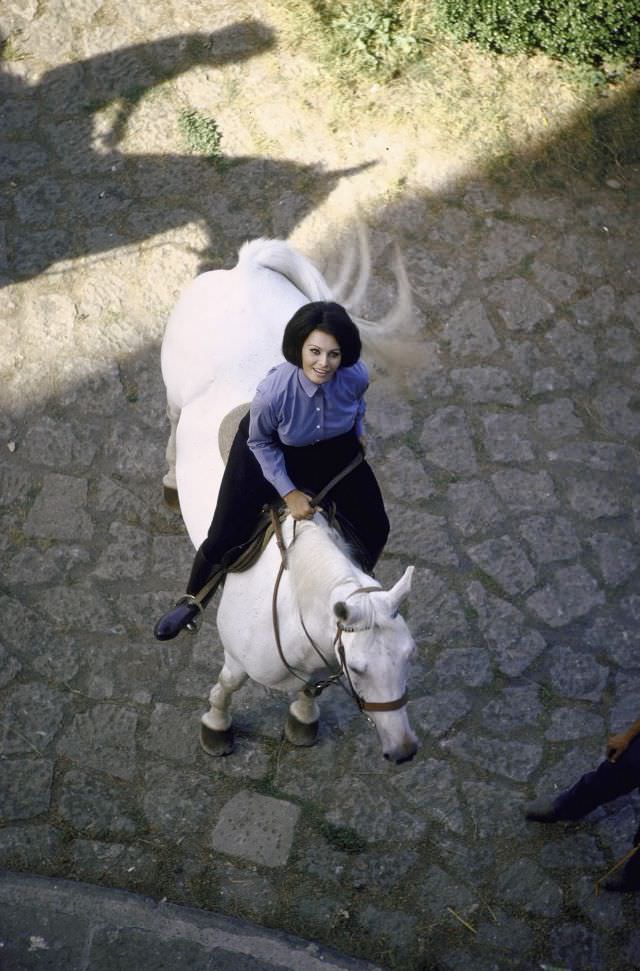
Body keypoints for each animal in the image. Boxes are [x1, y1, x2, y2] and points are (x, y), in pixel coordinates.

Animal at [162, 234, 418, 760]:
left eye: (409, 656)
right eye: (360, 668)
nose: (403, 750)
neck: (293, 604)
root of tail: (245, 269)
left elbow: (305, 691)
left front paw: (302, 718)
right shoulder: (237, 655)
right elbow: (228, 686)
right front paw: (216, 725)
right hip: (174, 395)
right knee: (173, 424)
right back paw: (172, 482)